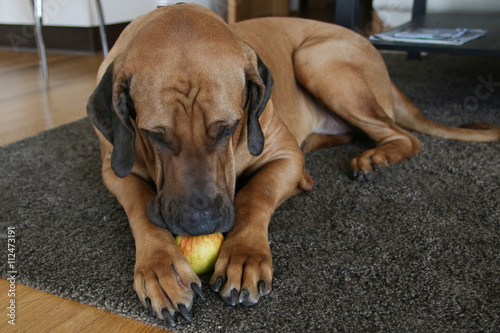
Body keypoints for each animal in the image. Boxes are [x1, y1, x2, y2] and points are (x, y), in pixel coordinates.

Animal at [87, 3, 500, 324]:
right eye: (154, 135)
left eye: (229, 128)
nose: (199, 223)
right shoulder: (113, 171)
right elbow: (140, 206)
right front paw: (161, 268)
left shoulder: (284, 156)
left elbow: (256, 194)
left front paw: (245, 255)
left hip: (315, 59)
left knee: (405, 136)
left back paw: (377, 157)